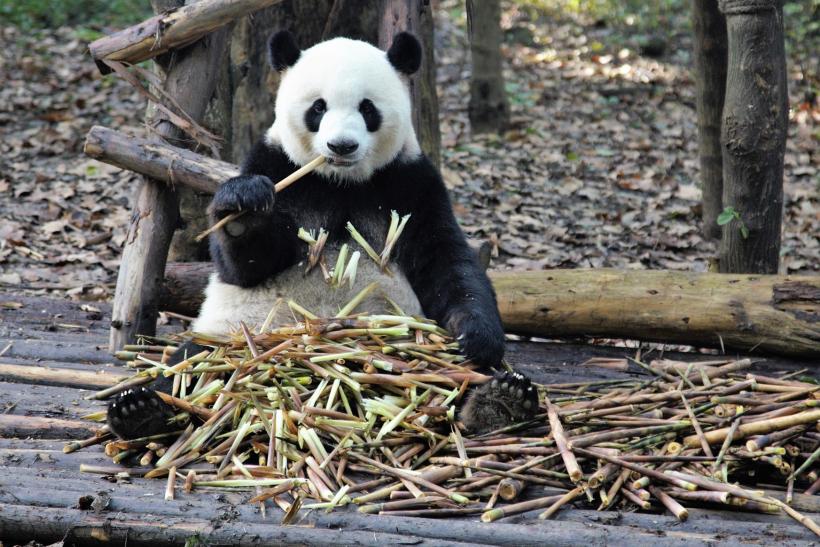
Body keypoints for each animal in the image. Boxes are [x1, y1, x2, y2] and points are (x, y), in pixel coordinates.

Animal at [107, 31, 538, 440]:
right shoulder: (276, 165)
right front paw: (244, 209)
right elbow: (243, 268)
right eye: (318, 108)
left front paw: (475, 335)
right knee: (187, 366)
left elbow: (446, 261)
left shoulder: (411, 182)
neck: (340, 181)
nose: (341, 146)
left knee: (463, 372)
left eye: (367, 108)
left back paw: (501, 399)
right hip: (232, 334)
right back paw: (138, 410)